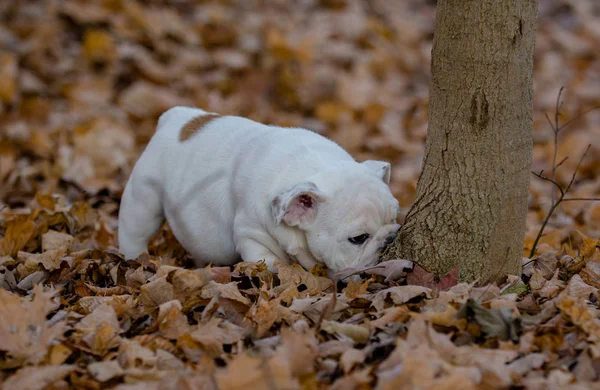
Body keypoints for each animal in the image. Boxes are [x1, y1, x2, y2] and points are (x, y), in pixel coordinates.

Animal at [118, 105, 400, 272]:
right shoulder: (251, 233)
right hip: (143, 198)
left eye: (394, 218)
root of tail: (176, 117)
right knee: (135, 230)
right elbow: (269, 261)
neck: (314, 167)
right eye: (358, 238)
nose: (391, 237)